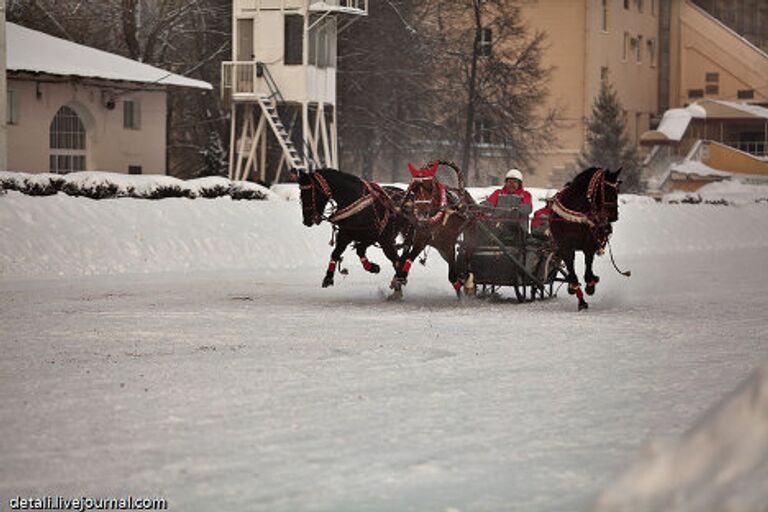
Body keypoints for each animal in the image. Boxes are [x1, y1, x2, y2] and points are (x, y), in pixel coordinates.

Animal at [392, 158, 476, 298]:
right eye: (414, 189)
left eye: (430, 188)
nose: (421, 213)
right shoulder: (421, 238)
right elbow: (408, 258)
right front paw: (399, 280)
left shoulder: (448, 244)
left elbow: (452, 275)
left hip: (466, 233)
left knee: (468, 251)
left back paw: (468, 280)